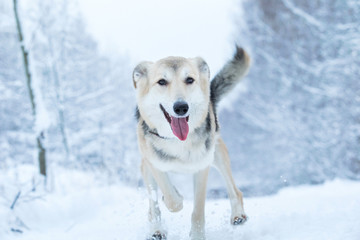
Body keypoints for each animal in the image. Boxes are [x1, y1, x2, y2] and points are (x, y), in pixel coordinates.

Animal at [133, 46, 250, 239]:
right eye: (162, 81)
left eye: (189, 80)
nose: (181, 107)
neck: (177, 141)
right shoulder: (154, 164)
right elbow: (171, 199)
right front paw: (175, 199)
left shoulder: (202, 168)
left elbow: (197, 212)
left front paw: (197, 236)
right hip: (146, 166)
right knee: (153, 204)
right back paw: (156, 229)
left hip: (218, 154)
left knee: (235, 191)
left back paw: (238, 215)